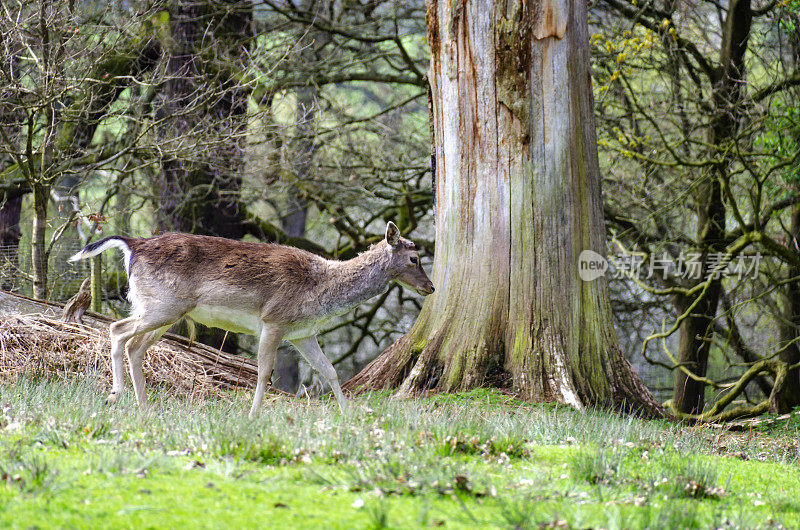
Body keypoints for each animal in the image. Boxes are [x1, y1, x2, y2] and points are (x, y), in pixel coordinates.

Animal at [69, 221, 434, 414]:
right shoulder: (274, 320)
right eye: (414, 258)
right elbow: (264, 373)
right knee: (118, 329)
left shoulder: (303, 333)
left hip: (163, 311)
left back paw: (143, 407)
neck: (321, 290)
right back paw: (117, 395)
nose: (430, 287)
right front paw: (254, 415)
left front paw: (347, 415)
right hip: (162, 306)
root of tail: (133, 243)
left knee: (136, 346)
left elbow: (329, 370)